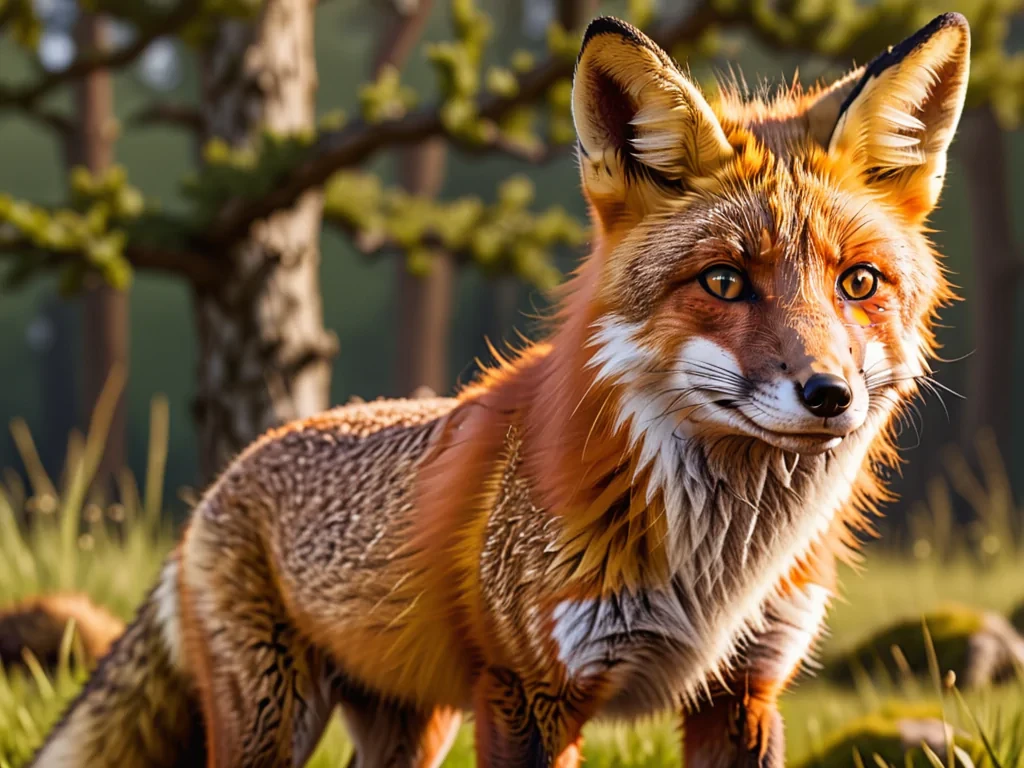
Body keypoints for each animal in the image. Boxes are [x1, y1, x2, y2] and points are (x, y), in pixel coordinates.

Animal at [11, 11, 970, 768]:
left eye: (859, 283)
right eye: (725, 282)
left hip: (413, 725)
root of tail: (223, 479)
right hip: (273, 723)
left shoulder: (743, 694)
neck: (716, 568)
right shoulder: (527, 692)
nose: (829, 395)